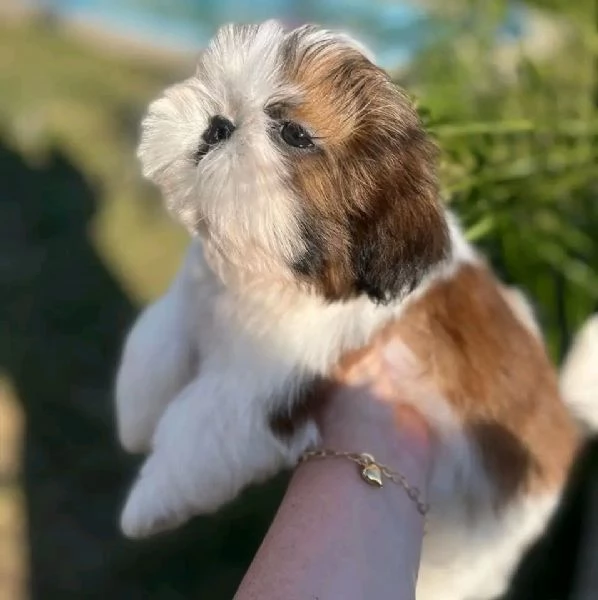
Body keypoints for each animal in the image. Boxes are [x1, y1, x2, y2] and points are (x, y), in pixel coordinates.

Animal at [115, 21, 596, 600]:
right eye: (214, 87)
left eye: (293, 134)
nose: (218, 123)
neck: (259, 267)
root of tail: (566, 426)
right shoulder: (195, 295)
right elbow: (155, 340)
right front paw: (134, 418)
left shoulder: (260, 383)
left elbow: (200, 427)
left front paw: (144, 505)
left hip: (475, 547)